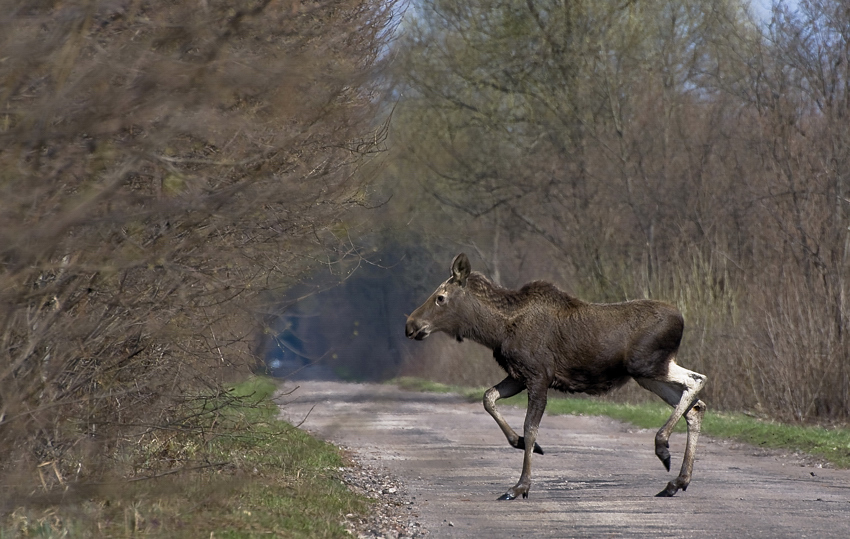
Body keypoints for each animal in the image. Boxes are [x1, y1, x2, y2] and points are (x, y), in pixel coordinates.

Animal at [402, 255, 704, 500]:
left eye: (440, 297)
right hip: (648, 375)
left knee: (697, 380)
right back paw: (677, 481)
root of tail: (682, 319)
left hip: (647, 365)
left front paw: (520, 486)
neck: (496, 331)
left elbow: (530, 427)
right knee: (694, 407)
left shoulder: (538, 376)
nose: (410, 325)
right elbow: (489, 398)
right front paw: (520, 444)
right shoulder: (518, 375)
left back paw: (663, 446)